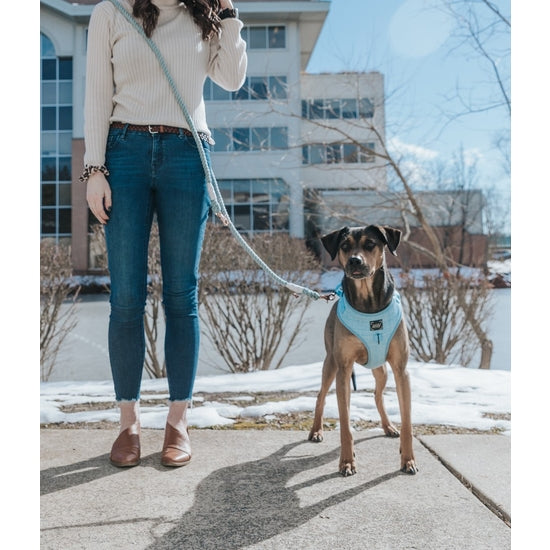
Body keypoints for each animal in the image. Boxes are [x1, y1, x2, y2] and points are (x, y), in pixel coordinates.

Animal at [308, 226, 420, 476]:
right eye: (344, 246)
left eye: (370, 244)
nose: (354, 261)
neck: (369, 303)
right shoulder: (343, 368)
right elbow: (345, 423)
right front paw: (347, 461)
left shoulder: (401, 370)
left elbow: (407, 421)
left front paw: (408, 459)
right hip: (331, 364)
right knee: (321, 395)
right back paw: (316, 431)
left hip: (382, 370)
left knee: (377, 396)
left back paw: (388, 427)